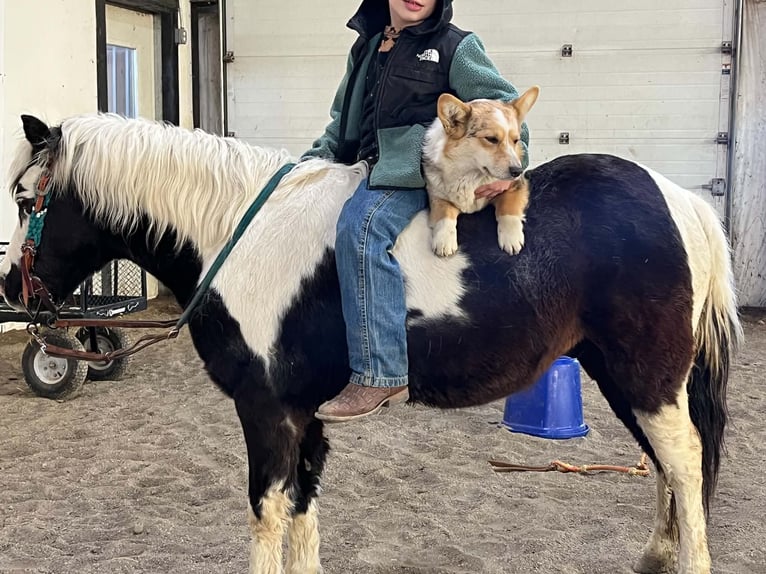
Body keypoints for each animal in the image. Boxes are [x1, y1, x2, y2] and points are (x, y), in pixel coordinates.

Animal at [0, 112, 741, 574]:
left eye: (23, 199)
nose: (14, 288)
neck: (240, 234)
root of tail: (679, 201)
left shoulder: (267, 411)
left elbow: (268, 515)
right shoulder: (305, 415)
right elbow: (303, 512)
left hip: (647, 378)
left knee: (682, 463)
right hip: (625, 378)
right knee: (668, 467)